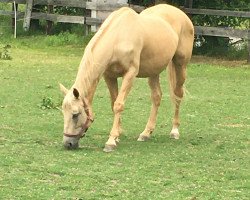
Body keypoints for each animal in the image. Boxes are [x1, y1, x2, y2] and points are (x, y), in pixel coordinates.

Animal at [59, 3, 194, 152]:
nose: (68, 143)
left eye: (75, 114)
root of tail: (180, 13)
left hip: (180, 66)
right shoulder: (109, 76)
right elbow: (113, 103)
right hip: (153, 72)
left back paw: (174, 131)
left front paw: (111, 141)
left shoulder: (130, 74)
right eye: (64, 113)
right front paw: (117, 134)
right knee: (157, 97)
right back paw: (146, 133)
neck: (118, 38)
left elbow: (119, 105)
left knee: (178, 95)